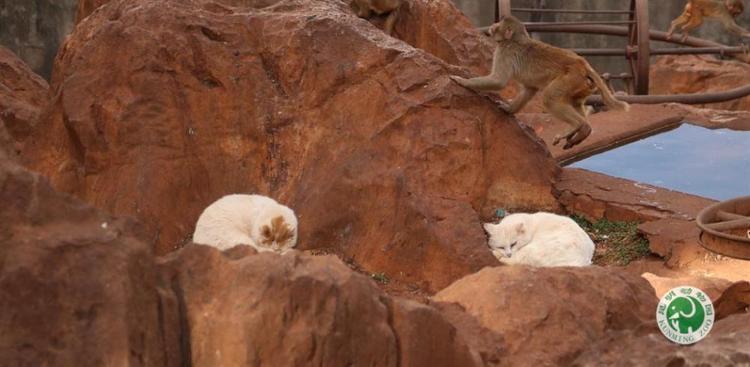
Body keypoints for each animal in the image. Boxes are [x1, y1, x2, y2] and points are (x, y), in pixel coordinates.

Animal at [452, 15, 628, 151]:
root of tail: (582, 64)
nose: (492, 25)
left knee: (549, 98)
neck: (515, 39)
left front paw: (463, 81)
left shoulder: (504, 51)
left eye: (498, 25)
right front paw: (509, 109)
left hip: (569, 79)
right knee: (575, 102)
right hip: (582, 85)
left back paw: (579, 125)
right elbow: (529, 89)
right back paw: (583, 130)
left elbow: (498, 81)